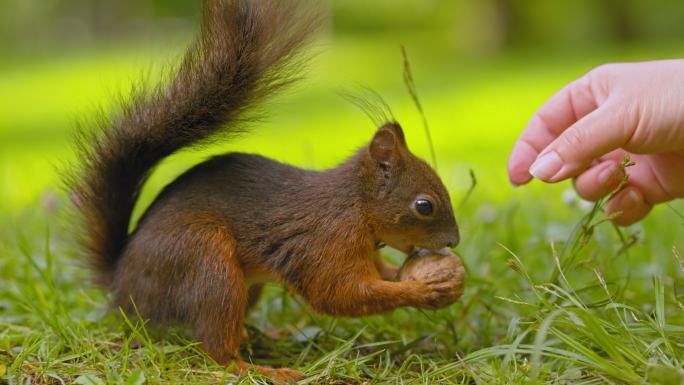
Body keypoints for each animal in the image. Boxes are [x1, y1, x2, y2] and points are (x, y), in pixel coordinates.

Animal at [68, 0, 460, 380]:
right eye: (424, 205)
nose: (454, 242)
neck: (356, 206)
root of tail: (122, 286)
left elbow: (376, 276)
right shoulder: (325, 241)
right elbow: (339, 293)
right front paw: (422, 289)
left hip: (243, 285)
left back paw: (267, 335)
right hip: (205, 263)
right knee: (216, 350)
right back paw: (262, 369)